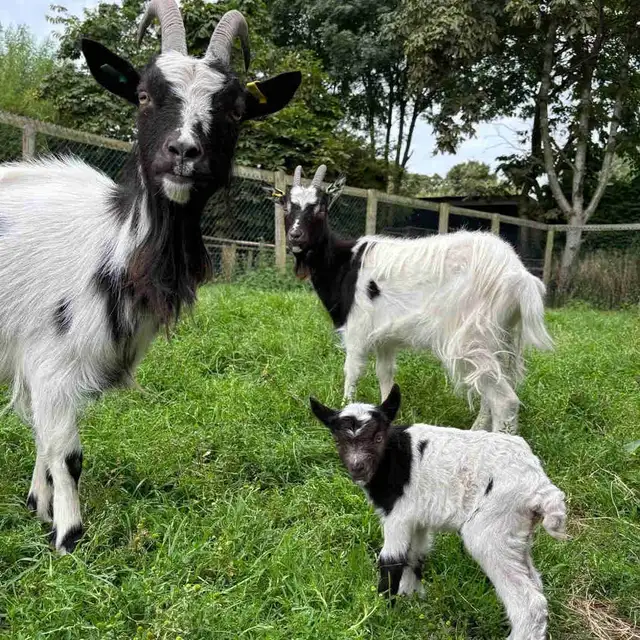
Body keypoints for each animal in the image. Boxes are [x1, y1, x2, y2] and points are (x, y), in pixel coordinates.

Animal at [0, 0, 301, 553]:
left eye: (235, 110)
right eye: (142, 94)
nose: (183, 152)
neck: (113, 243)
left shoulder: (34, 361)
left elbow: (42, 439)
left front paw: (38, 506)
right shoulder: (51, 356)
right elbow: (66, 452)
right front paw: (68, 537)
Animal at [279, 164, 553, 433]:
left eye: (320, 207)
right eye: (286, 205)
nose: (295, 236)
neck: (344, 263)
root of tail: (520, 276)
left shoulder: (357, 329)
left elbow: (352, 371)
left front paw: (346, 409)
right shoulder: (384, 338)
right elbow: (385, 375)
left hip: (471, 336)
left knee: (504, 400)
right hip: (498, 336)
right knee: (492, 388)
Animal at [310, 384, 568, 640]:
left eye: (378, 437)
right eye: (338, 440)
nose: (357, 467)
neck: (393, 457)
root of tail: (539, 486)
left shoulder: (398, 515)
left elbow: (391, 560)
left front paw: (382, 612)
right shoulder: (418, 519)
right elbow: (415, 555)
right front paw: (412, 599)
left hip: (491, 528)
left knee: (529, 602)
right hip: (515, 531)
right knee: (535, 583)